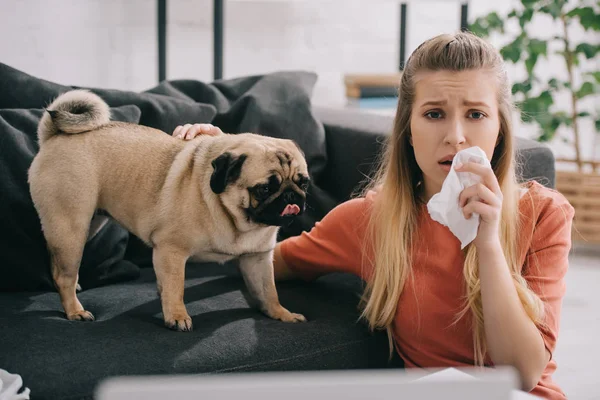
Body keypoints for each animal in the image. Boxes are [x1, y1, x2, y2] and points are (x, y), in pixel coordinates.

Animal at [27, 90, 310, 332]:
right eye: (264, 189)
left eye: (304, 182)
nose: (291, 196)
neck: (236, 220)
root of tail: (55, 136)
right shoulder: (171, 251)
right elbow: (176, 287)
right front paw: (177, 316)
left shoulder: (257, 259)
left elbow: (268, 292)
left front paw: (281, 314)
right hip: (71, 227)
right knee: (63, 274)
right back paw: (75, 310)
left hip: (89, 223)